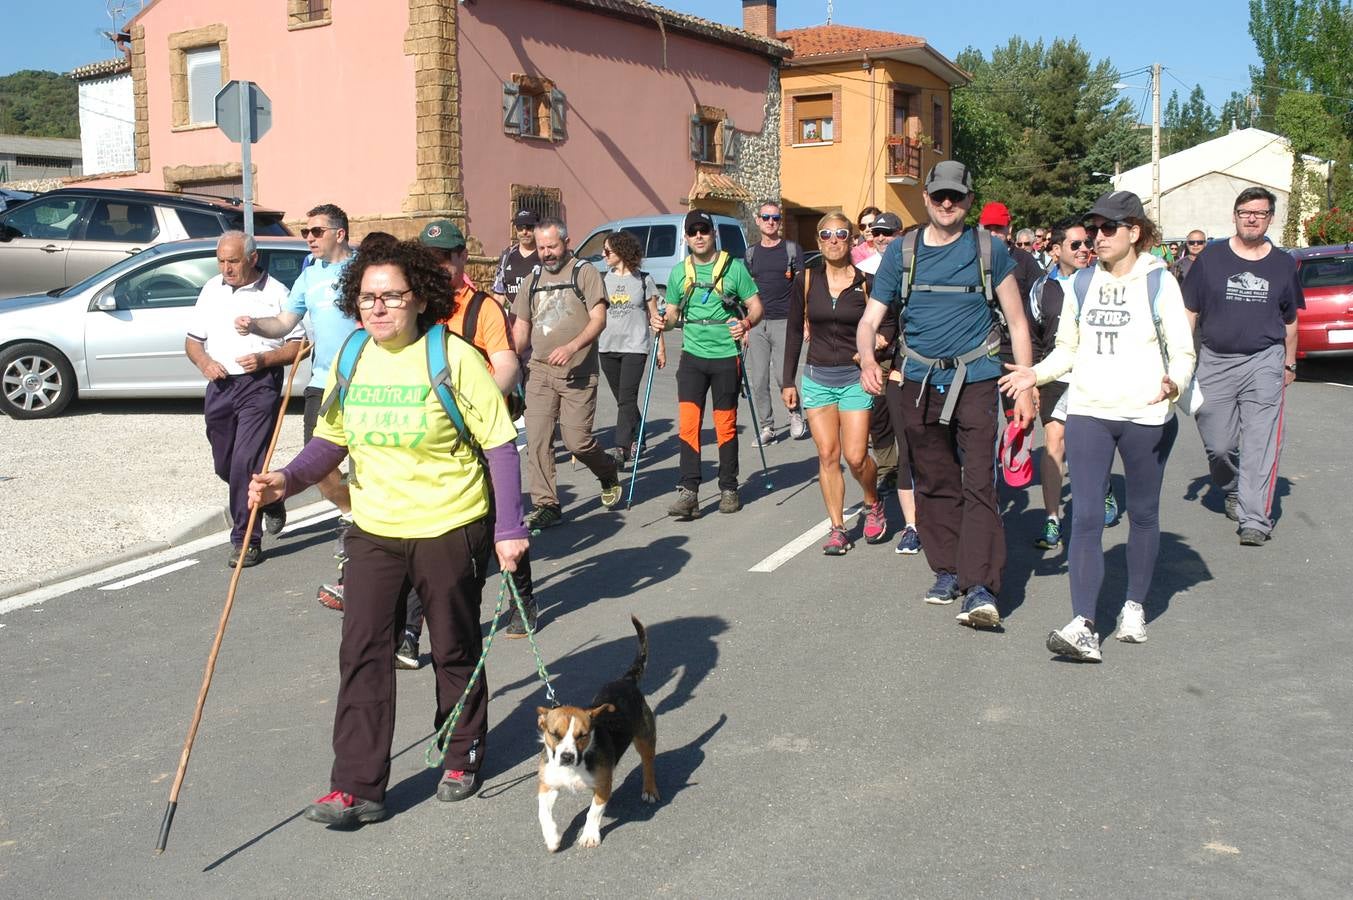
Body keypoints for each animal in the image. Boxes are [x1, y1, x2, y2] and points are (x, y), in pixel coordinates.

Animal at [541, 617, 662, 849]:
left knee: (649, 763)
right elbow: (544, 813)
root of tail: (626, 681)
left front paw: (589, 835)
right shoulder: (547, 784)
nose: (567, 756)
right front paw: (552, 836)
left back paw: (650, 789)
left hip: (645, 738)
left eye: (583, 735)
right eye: (555, 734)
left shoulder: (603, 785)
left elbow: (593, 812)